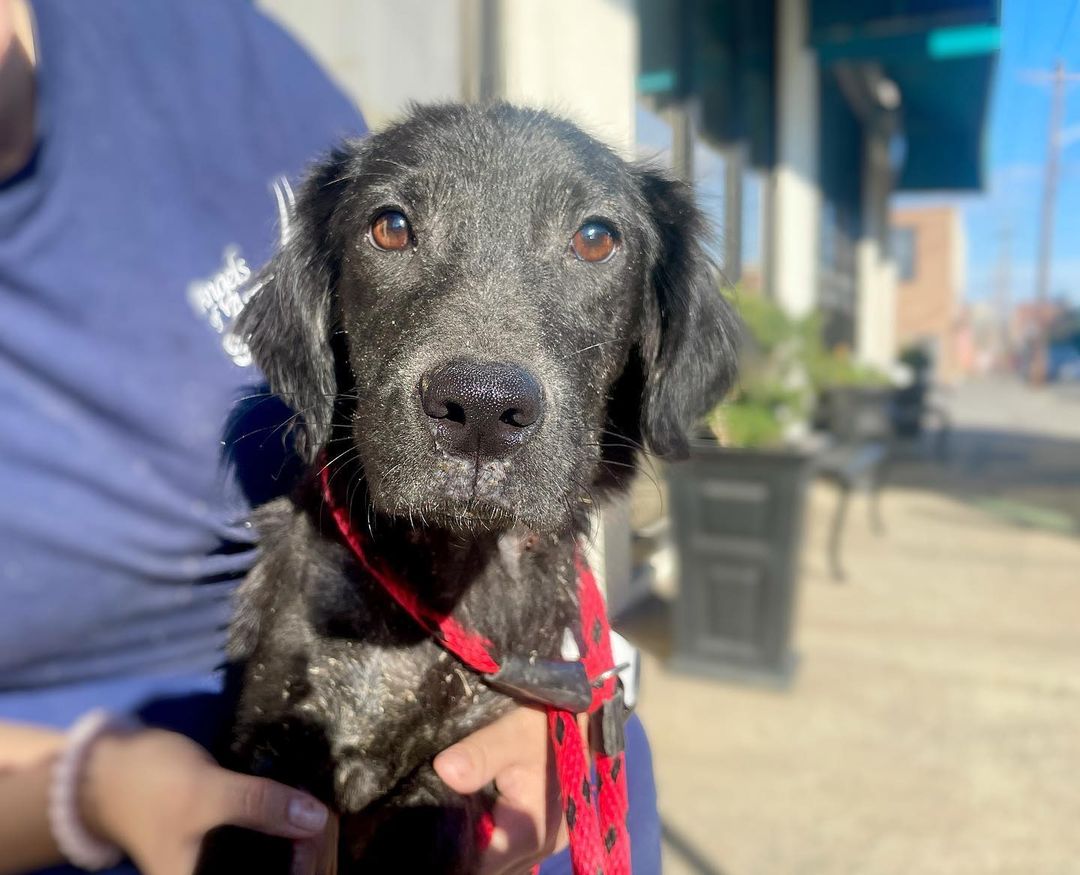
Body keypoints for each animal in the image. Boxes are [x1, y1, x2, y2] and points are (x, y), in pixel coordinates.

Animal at [198, 104, 738, 872]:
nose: (481, 406)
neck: (453, 573)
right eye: (390, 226)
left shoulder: (460, 767)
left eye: (596, 238)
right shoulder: (277, 739)